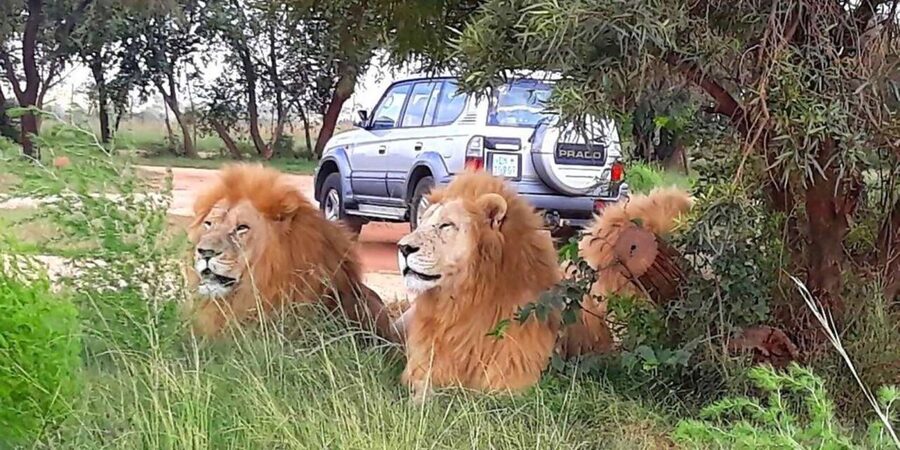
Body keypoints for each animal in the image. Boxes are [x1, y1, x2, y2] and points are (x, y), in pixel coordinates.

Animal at [396, 171, 561, 401]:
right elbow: (423, 386)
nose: (402, 248)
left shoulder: (514, 380)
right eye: (421, 222)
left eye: (446, 225)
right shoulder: (422, 367)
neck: (460, 306)